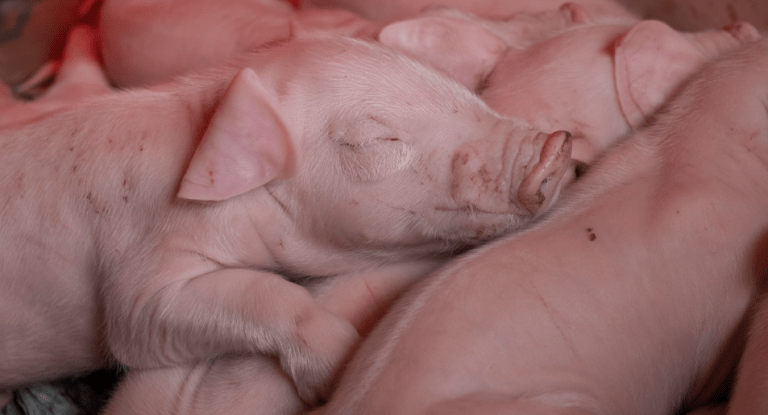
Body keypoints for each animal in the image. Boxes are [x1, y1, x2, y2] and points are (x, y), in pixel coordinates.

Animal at [0, 26, 577, 408]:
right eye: (375, 139)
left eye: (457, 89)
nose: (554, 149)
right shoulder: (140, 282)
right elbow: (254, 292)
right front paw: (340, 368)